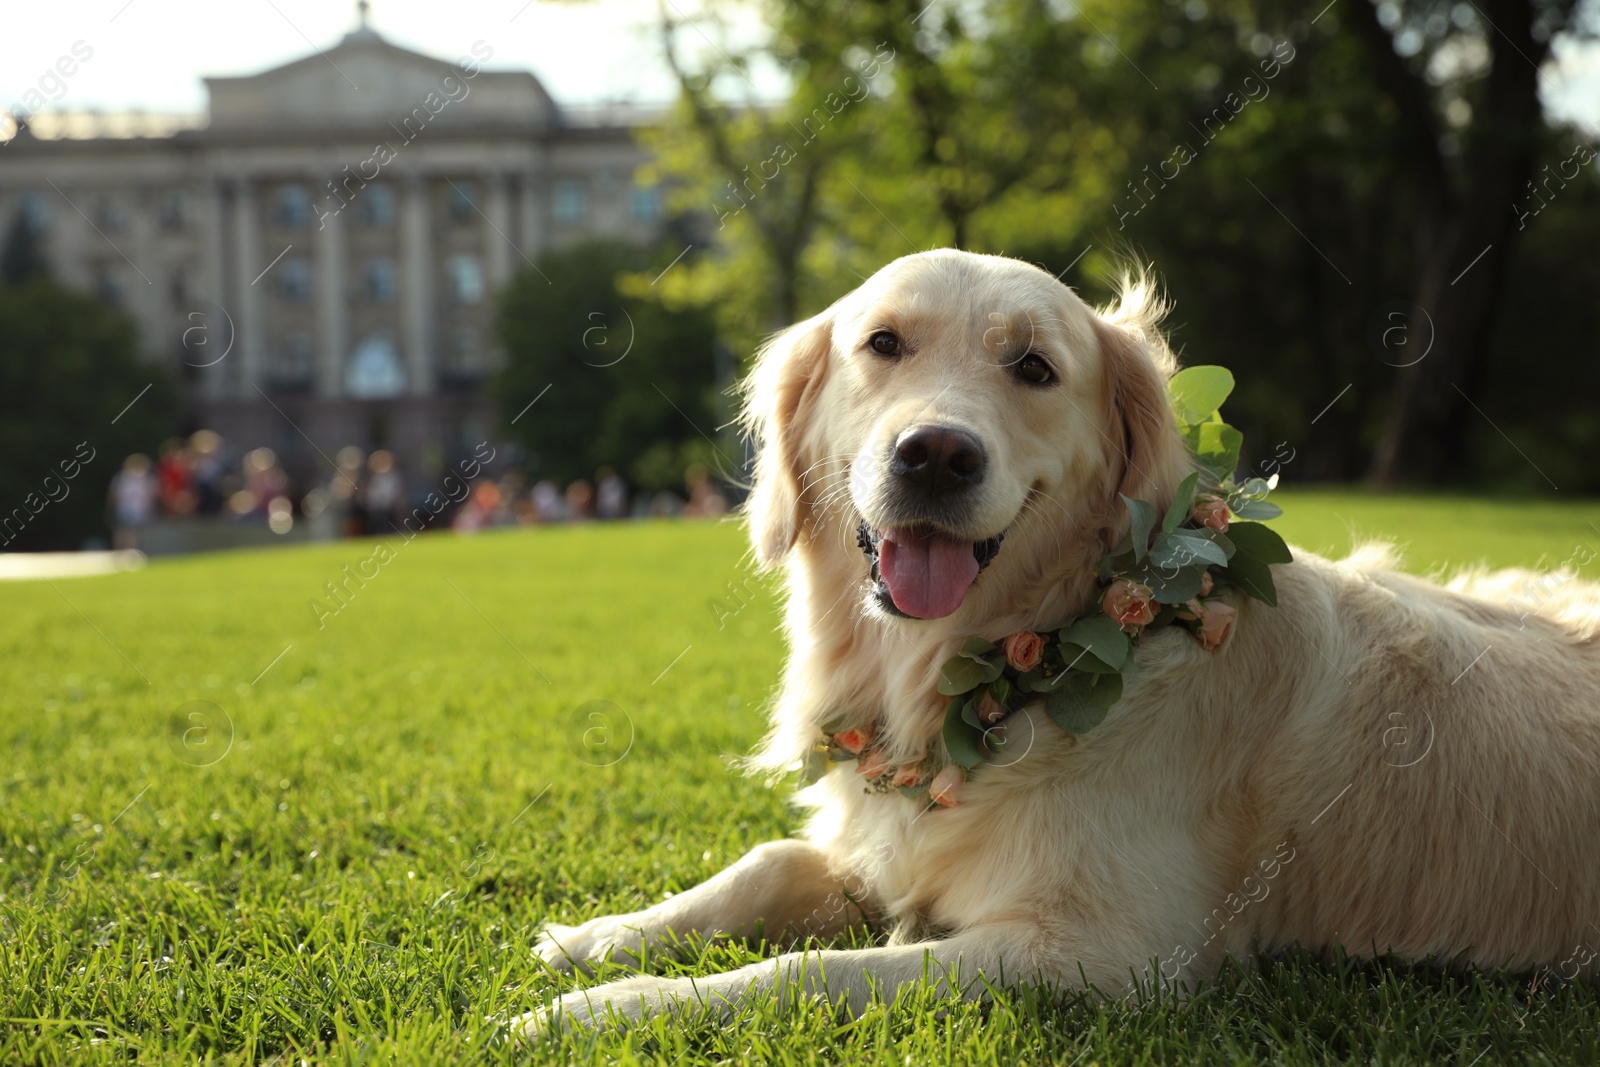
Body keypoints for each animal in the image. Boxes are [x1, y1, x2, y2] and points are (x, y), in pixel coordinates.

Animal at [518, 247, 1600, 1036]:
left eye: (1034, 367)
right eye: (883, 343)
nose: (935, 454)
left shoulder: (1105, 952)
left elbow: (812, 970)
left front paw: (606, 1008)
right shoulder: (893, 842)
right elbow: (770, 862)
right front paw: (599, 937)